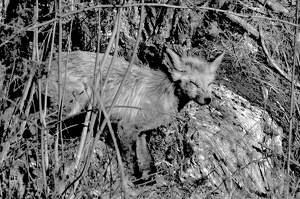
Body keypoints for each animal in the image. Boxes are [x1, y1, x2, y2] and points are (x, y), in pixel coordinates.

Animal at [47, 47, 224, 177]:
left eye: (209, 84)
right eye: (193, 83)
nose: (208, 99)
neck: (165, 95)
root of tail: (50, 59)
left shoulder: (141, 132)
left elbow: (147, 161)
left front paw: (147, 182)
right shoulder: (126, 127)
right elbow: (129, 161)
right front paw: (129, 182)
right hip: (69, 108)